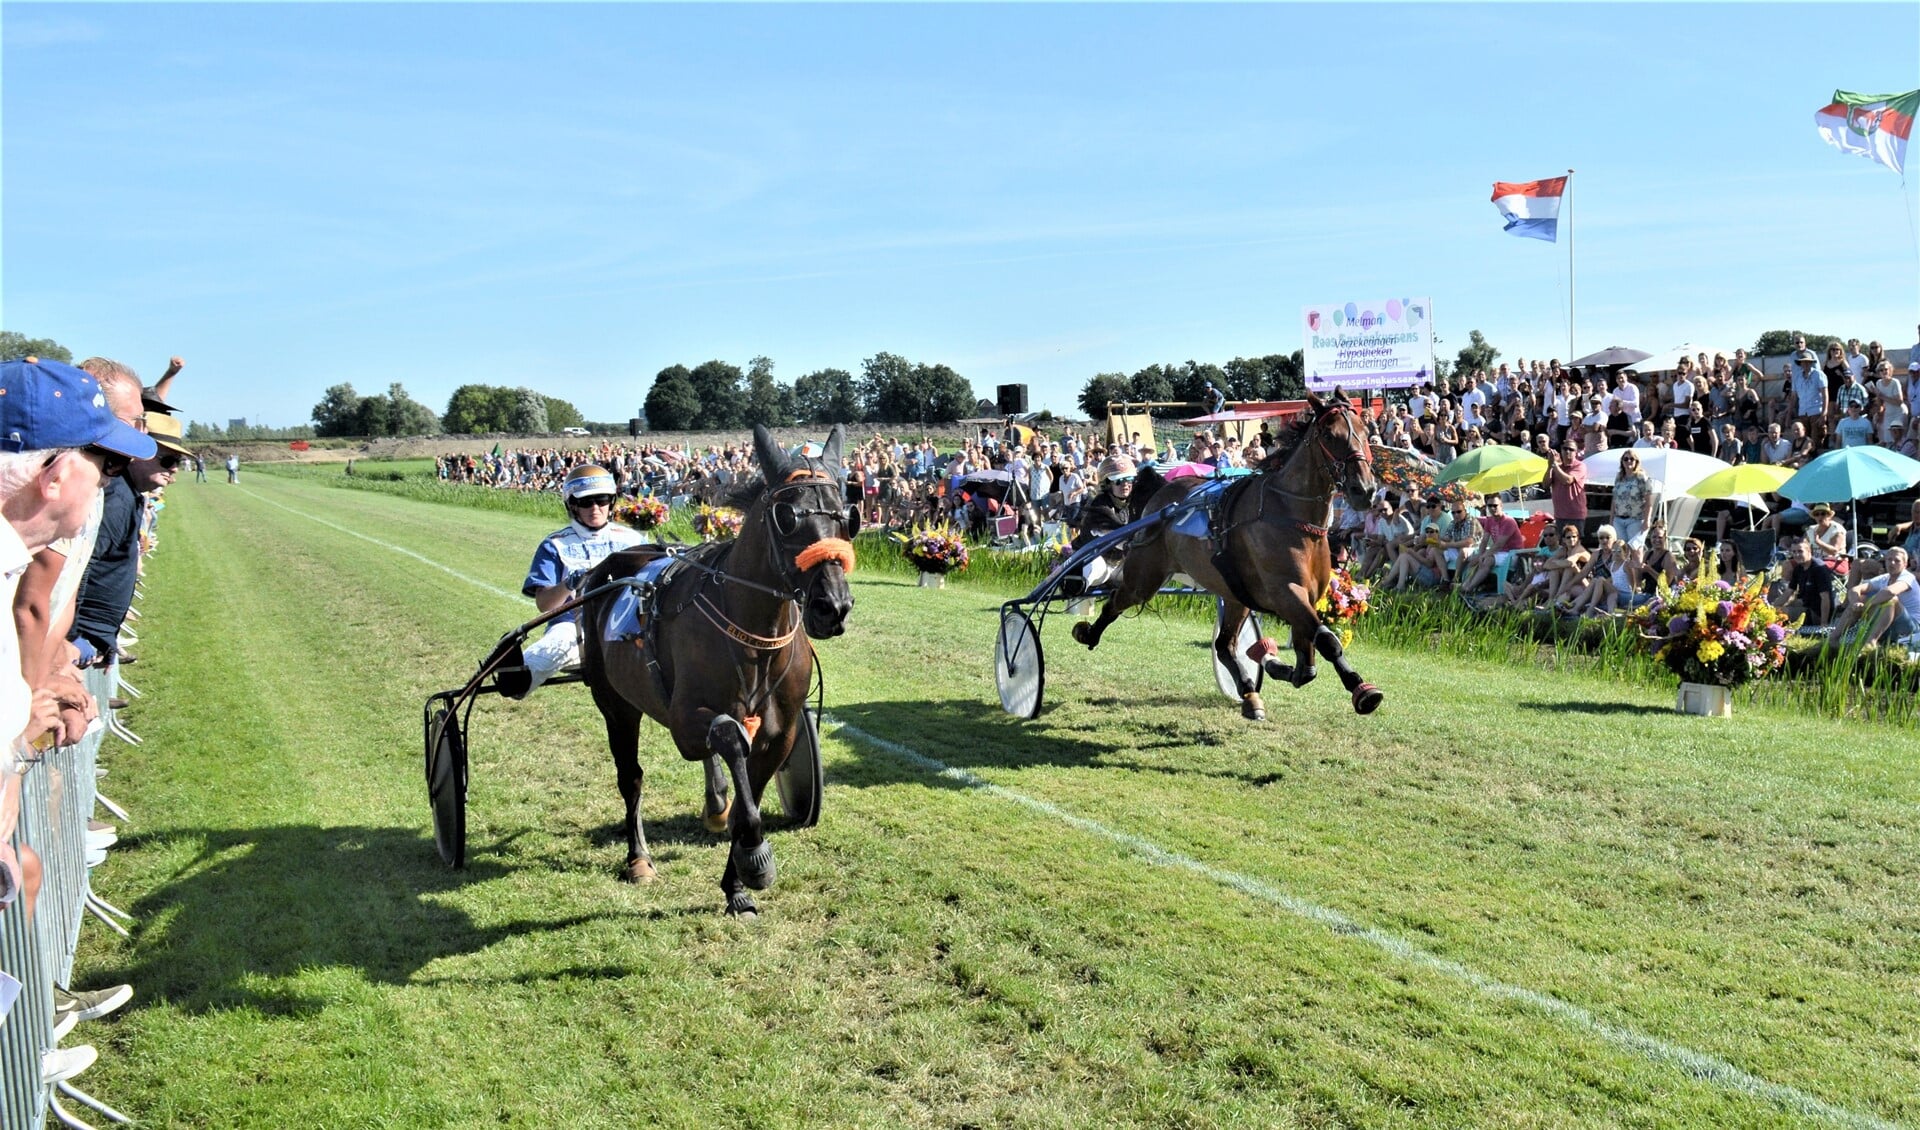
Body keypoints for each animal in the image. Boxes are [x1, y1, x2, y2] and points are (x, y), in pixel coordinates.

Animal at [576, 425, 856, 917]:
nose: (832, 607)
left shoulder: (780, 734)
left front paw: (737, 883)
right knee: (632, 777)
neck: (753, 636)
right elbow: (728, 736)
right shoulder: (684, 721)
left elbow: (751, 797)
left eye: (846, 515)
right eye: (787, 517)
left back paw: (716, 802)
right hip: (616, 705)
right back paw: (639, 856)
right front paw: (755, 857)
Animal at [1082, 391, 1382, 717]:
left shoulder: (1307, 596)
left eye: (1366, 430)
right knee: (1117, 599)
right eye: (1329, 434)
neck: (1290, 515)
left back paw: (1249, 694)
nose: (1364, 490)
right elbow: (1326, 641)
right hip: (1145, 577)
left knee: (1224, 645)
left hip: (1235, 594)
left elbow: (1307, 665)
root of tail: (1161, 493)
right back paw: (1087, 633)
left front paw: (1272, 661)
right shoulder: (1284, 591)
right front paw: (1362, 690)